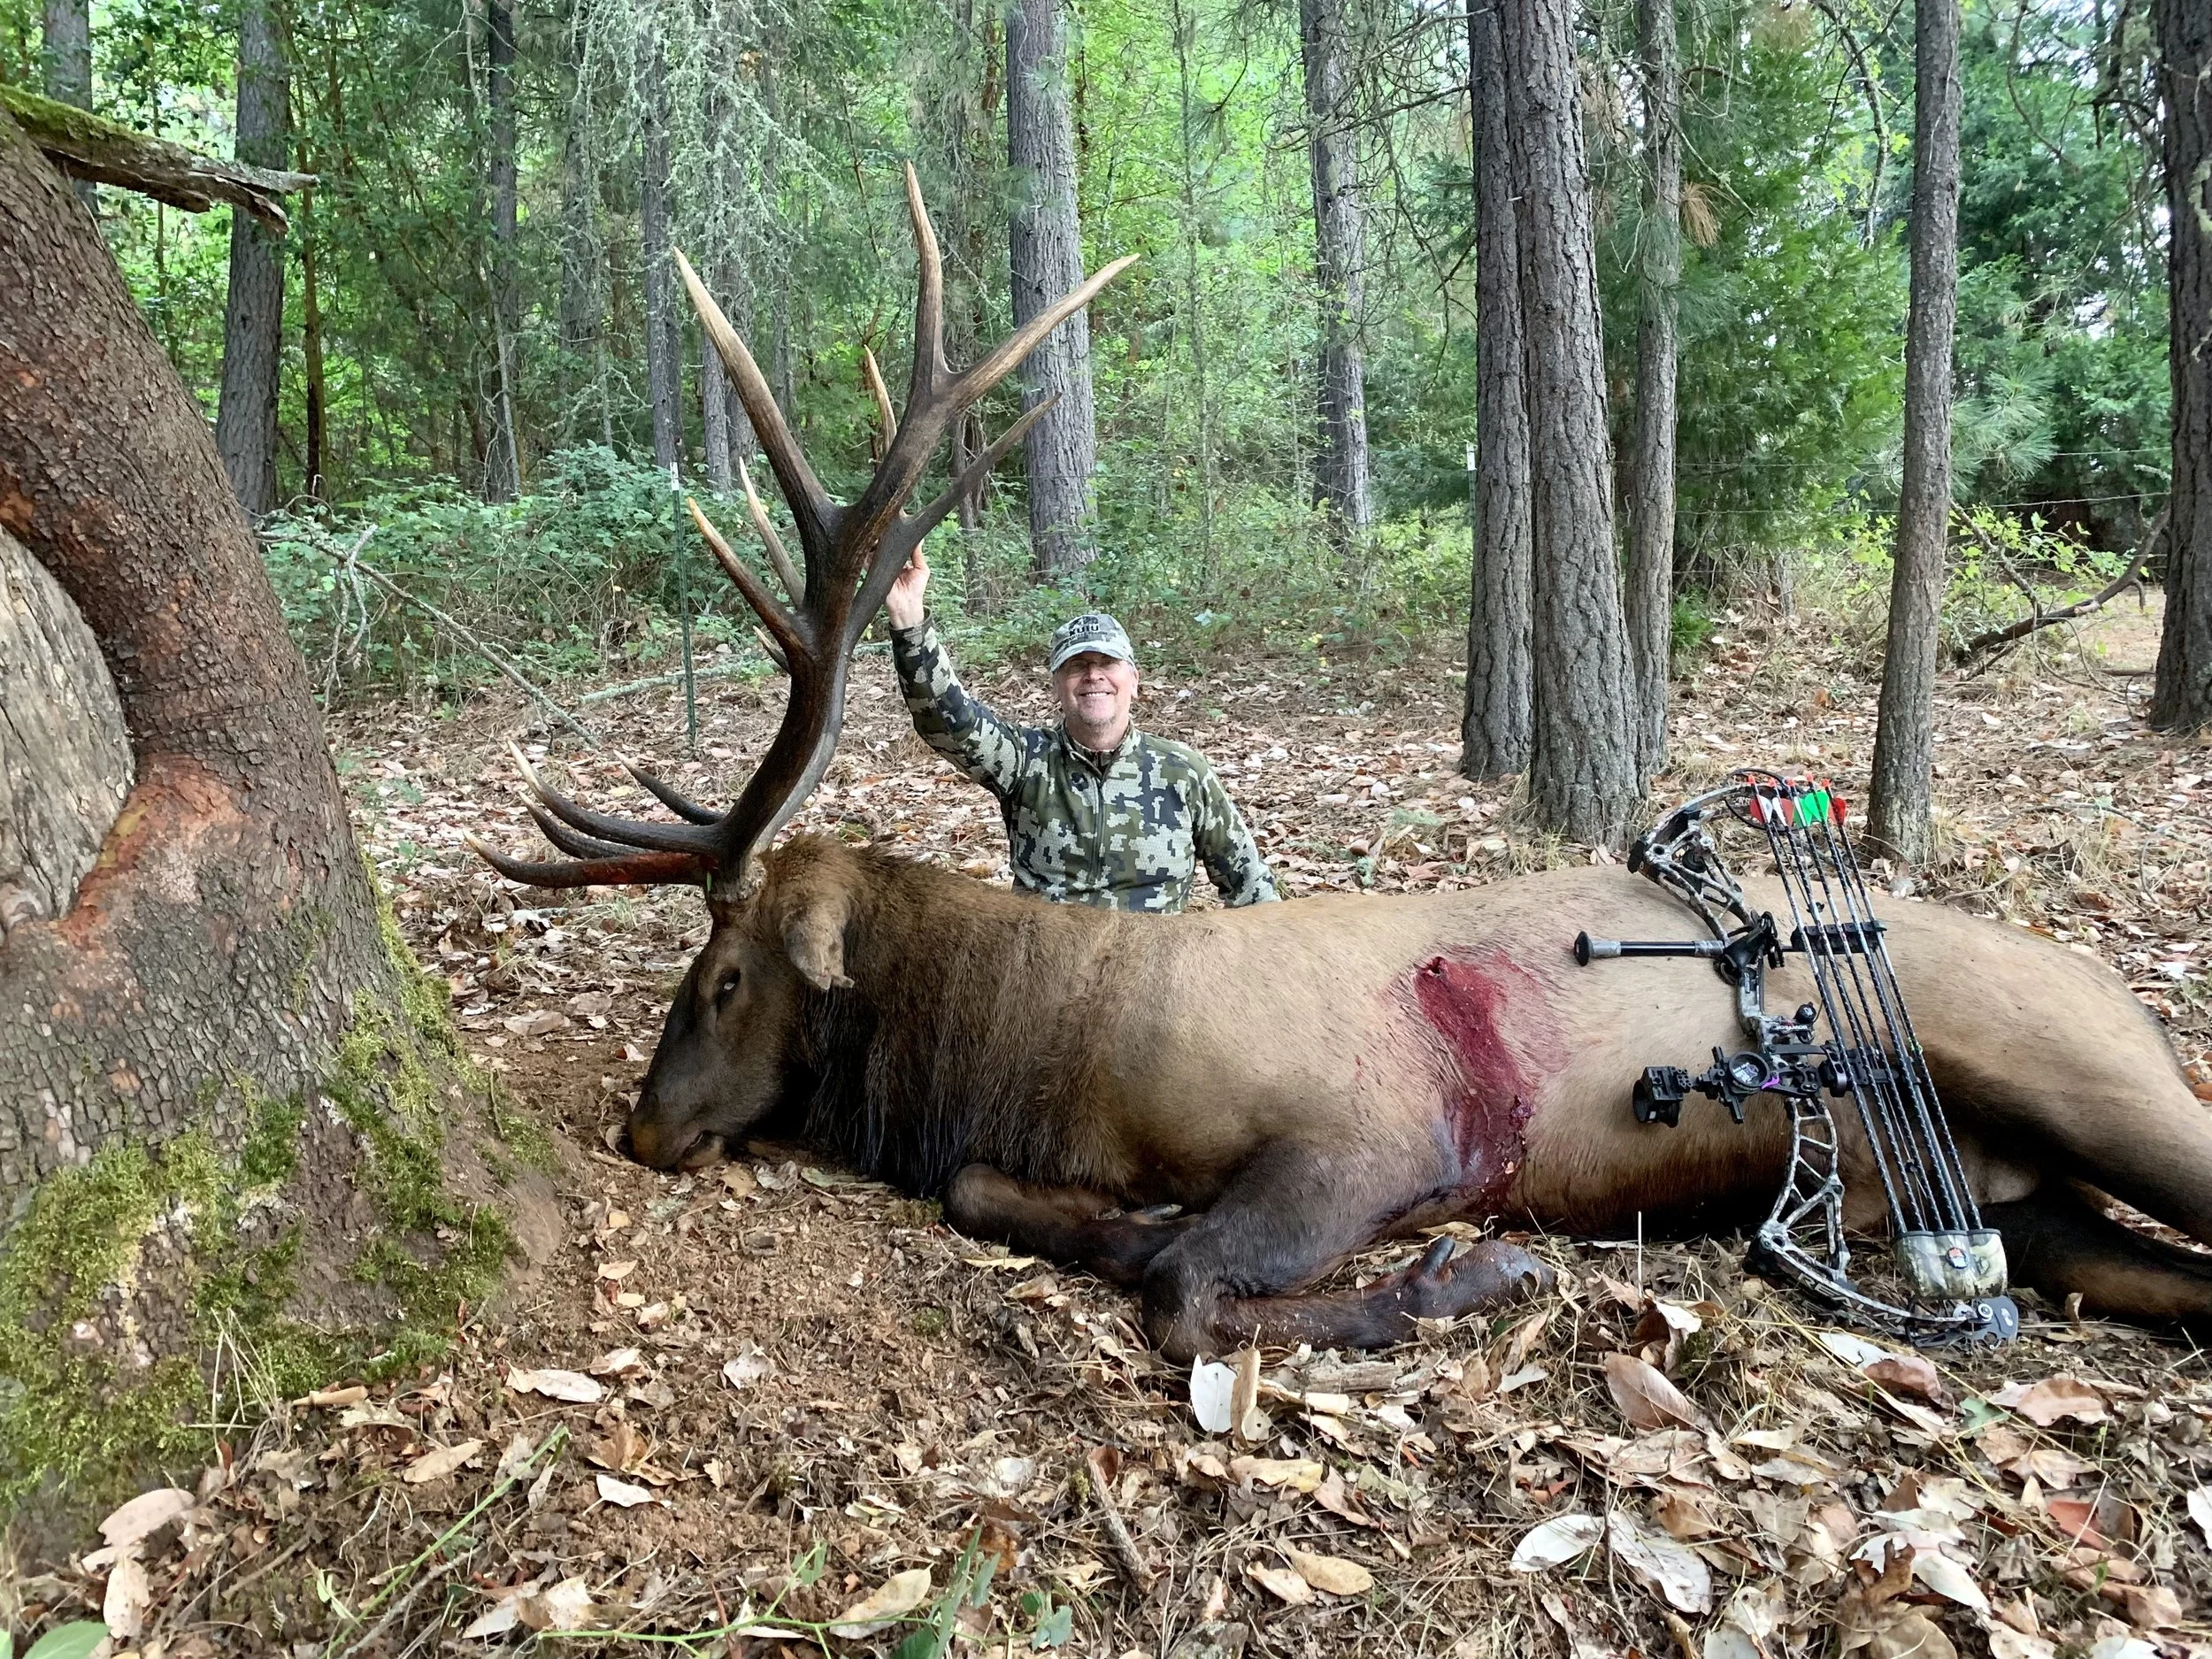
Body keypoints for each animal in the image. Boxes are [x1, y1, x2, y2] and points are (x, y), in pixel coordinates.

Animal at [473, 173, 2212, 1363]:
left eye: (720, 979)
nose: (640, 1126)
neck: (1051, 1056)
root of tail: (2116, 985)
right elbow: (1019, 1206)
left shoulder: (1374, 1134)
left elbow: (1190, 1286)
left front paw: (1475, 1272)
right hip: (2028, 1210)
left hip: (2099, 1079)